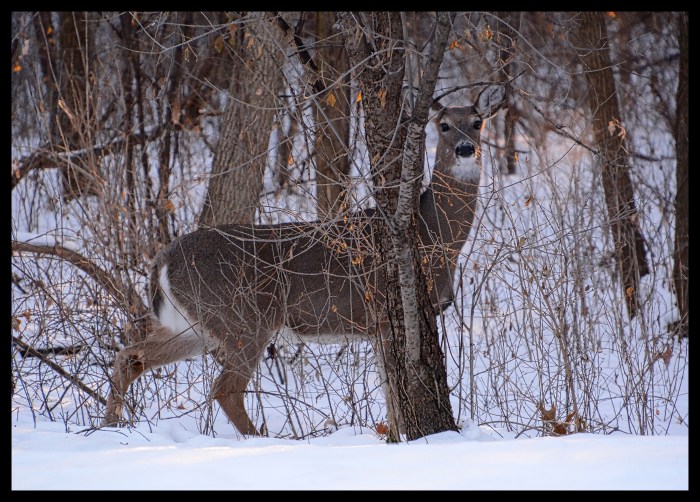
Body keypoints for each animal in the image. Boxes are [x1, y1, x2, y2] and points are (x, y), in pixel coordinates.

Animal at [102, 84, 507, 437]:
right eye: (443, 125)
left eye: (477, 122)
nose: (466, 149)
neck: (433, 236)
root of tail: (163, 261)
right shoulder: (384, 313)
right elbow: (395, 389)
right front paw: (404, 437)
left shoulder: (374, 325)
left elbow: (390, 392)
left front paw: (394, 436)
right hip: (246, 317)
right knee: (224, 387)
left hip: (194, 325)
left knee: (130, 355)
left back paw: (109, 426)